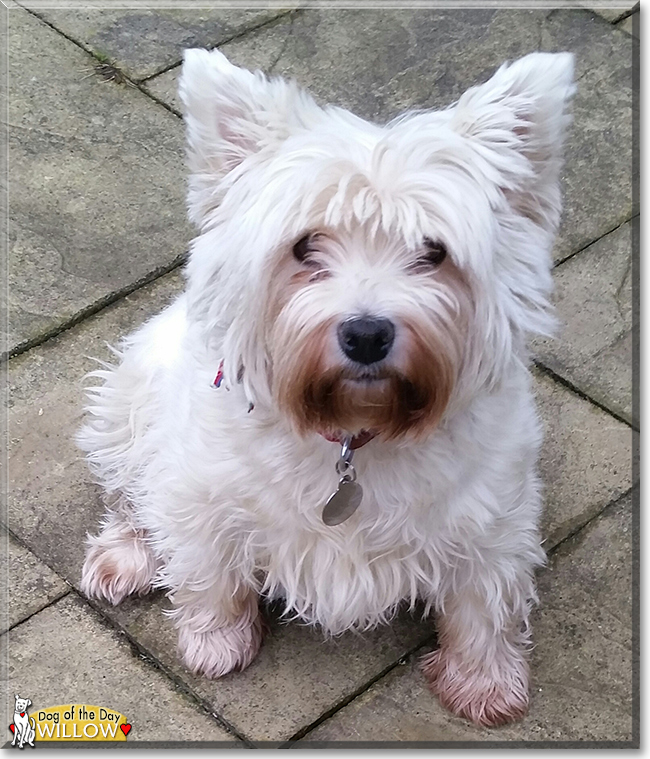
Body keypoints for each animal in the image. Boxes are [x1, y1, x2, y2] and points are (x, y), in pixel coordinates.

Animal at [77, 49, 572, 732]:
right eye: (305, 246)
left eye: (434, 251)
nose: (366, 334)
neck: (355, 430)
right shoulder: (200, 490)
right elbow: (209, 569)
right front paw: (215, 643)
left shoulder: (493, 518)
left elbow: (484, 603)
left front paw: (485, 684)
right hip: (127, 401)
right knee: (129, 495)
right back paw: (124, 559)